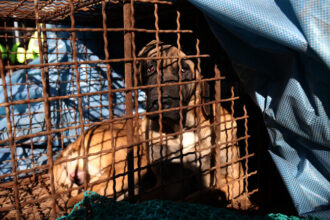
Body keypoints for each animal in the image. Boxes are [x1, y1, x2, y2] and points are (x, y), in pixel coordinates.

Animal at [137, 40, 245, 205]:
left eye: (183, 70)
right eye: (150, 68)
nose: (160, 102)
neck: (184, 128)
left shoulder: (233, 178)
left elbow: (204, 195)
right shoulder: (171, 182)